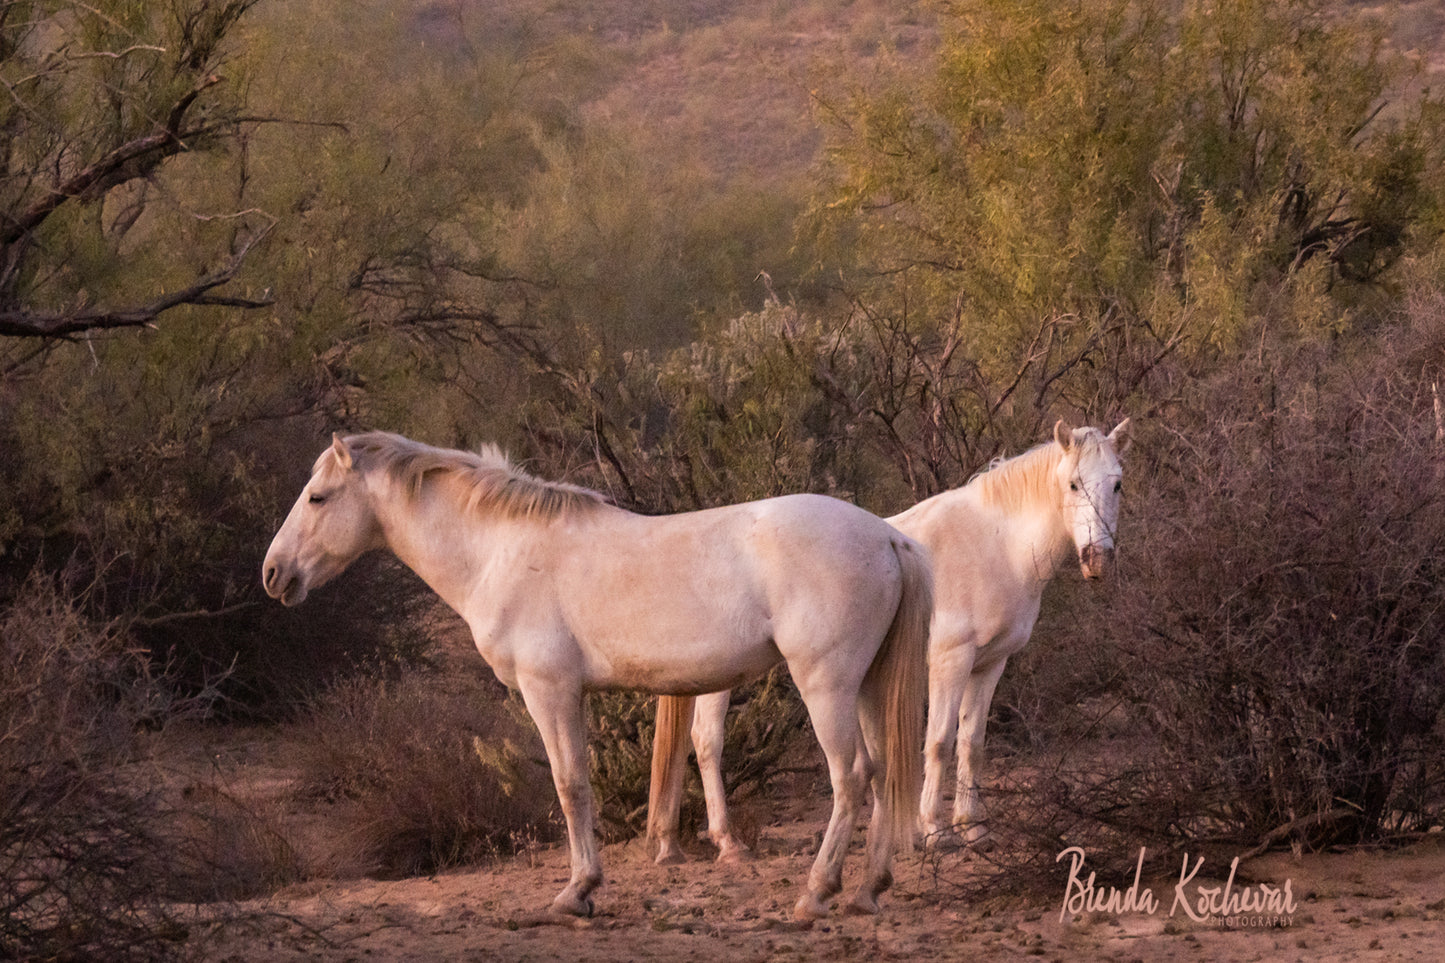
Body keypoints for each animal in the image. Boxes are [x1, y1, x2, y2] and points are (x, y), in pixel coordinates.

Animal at [262, 431, 932, 919]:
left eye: (317, 497)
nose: (273, 573)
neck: (501, 550)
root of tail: (887, 537)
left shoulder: (550, 691)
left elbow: (570, 784)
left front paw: (576, 891)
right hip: (866, 687)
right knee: (882, 773)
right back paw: (867, 890)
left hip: (827, 686)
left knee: (851, 777)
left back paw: (817, 893)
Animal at [646, 419, 1129, 863]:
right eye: (1073, 483)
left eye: (1117, 483)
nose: (1098, 560)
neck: (994, 545)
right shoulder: (951, 662)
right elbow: (939, 742)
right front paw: (935, 830)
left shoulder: (990, 664)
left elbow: (972, 743)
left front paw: (974, 829)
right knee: (709, 742)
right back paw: (728, 842)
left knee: (701, 739)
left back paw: (691, 841)